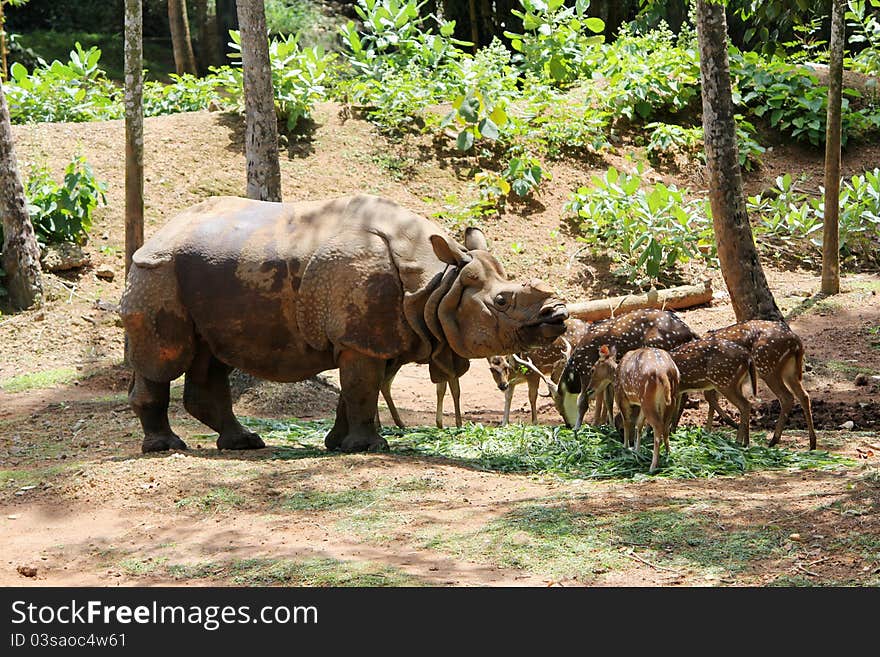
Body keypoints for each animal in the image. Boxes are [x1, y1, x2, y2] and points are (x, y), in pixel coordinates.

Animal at [588, 344, 684, 472]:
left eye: (592, 369)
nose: (589, 390)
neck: (615, 376)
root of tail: (663, 374)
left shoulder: (621, 396)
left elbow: (627, 422)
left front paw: (626, 447)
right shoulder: (640, 404)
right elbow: (639, 424)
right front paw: (636, 449)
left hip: (647, 399)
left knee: (658, 426)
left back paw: (653, 466)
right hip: (671, 398)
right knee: (665, 427)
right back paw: (669, 454)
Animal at [700, 320, 820, 452]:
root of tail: (796, 341)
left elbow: (709, 396)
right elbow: (711, 396)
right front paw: (708, 431)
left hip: (767, 367)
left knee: (787, 397)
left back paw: (773, 440)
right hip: (789, 371)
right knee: (804, 395)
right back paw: (812, 443)